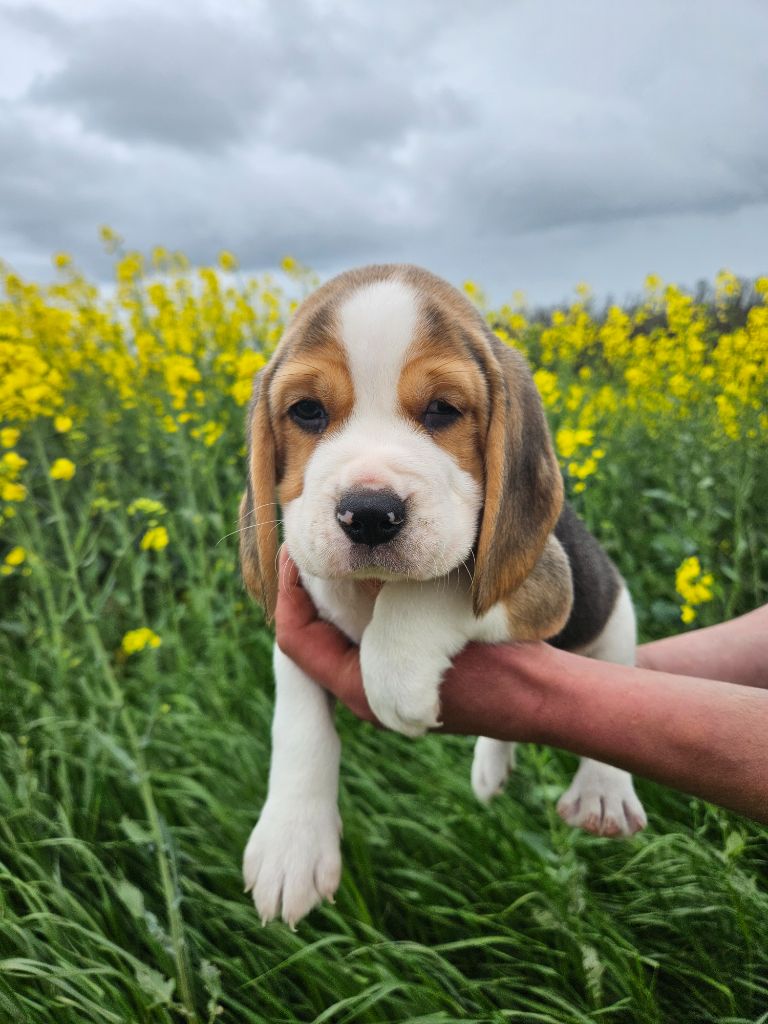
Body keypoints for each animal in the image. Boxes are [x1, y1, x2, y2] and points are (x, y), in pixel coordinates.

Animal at [239, 262, 643, 929]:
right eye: (307, 411)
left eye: (443, 410)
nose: (369, 514)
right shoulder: (300, 610)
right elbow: (294, 719)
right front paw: (290, 842)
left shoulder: (541, 584)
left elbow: (442, 583)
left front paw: (395, 677)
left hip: (611, 610)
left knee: (615, 688)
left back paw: (603, 792)